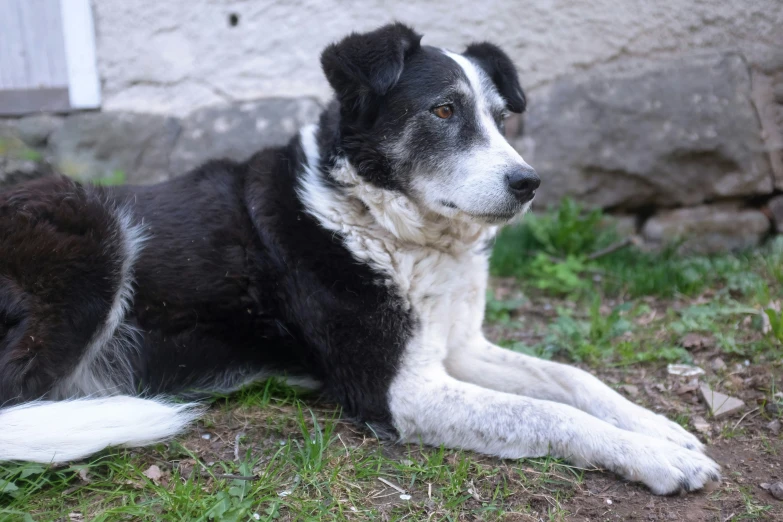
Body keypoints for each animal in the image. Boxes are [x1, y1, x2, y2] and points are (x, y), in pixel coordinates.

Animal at [0, 23, 720, 492]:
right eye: (443, 110)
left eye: (500, 119)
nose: (528, 183)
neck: (384, 225)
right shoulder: (399, 390)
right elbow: (548, 412)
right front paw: (655, 458)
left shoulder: (455, 348)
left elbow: (572, 379)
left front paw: (660, 428)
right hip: (92, 238)